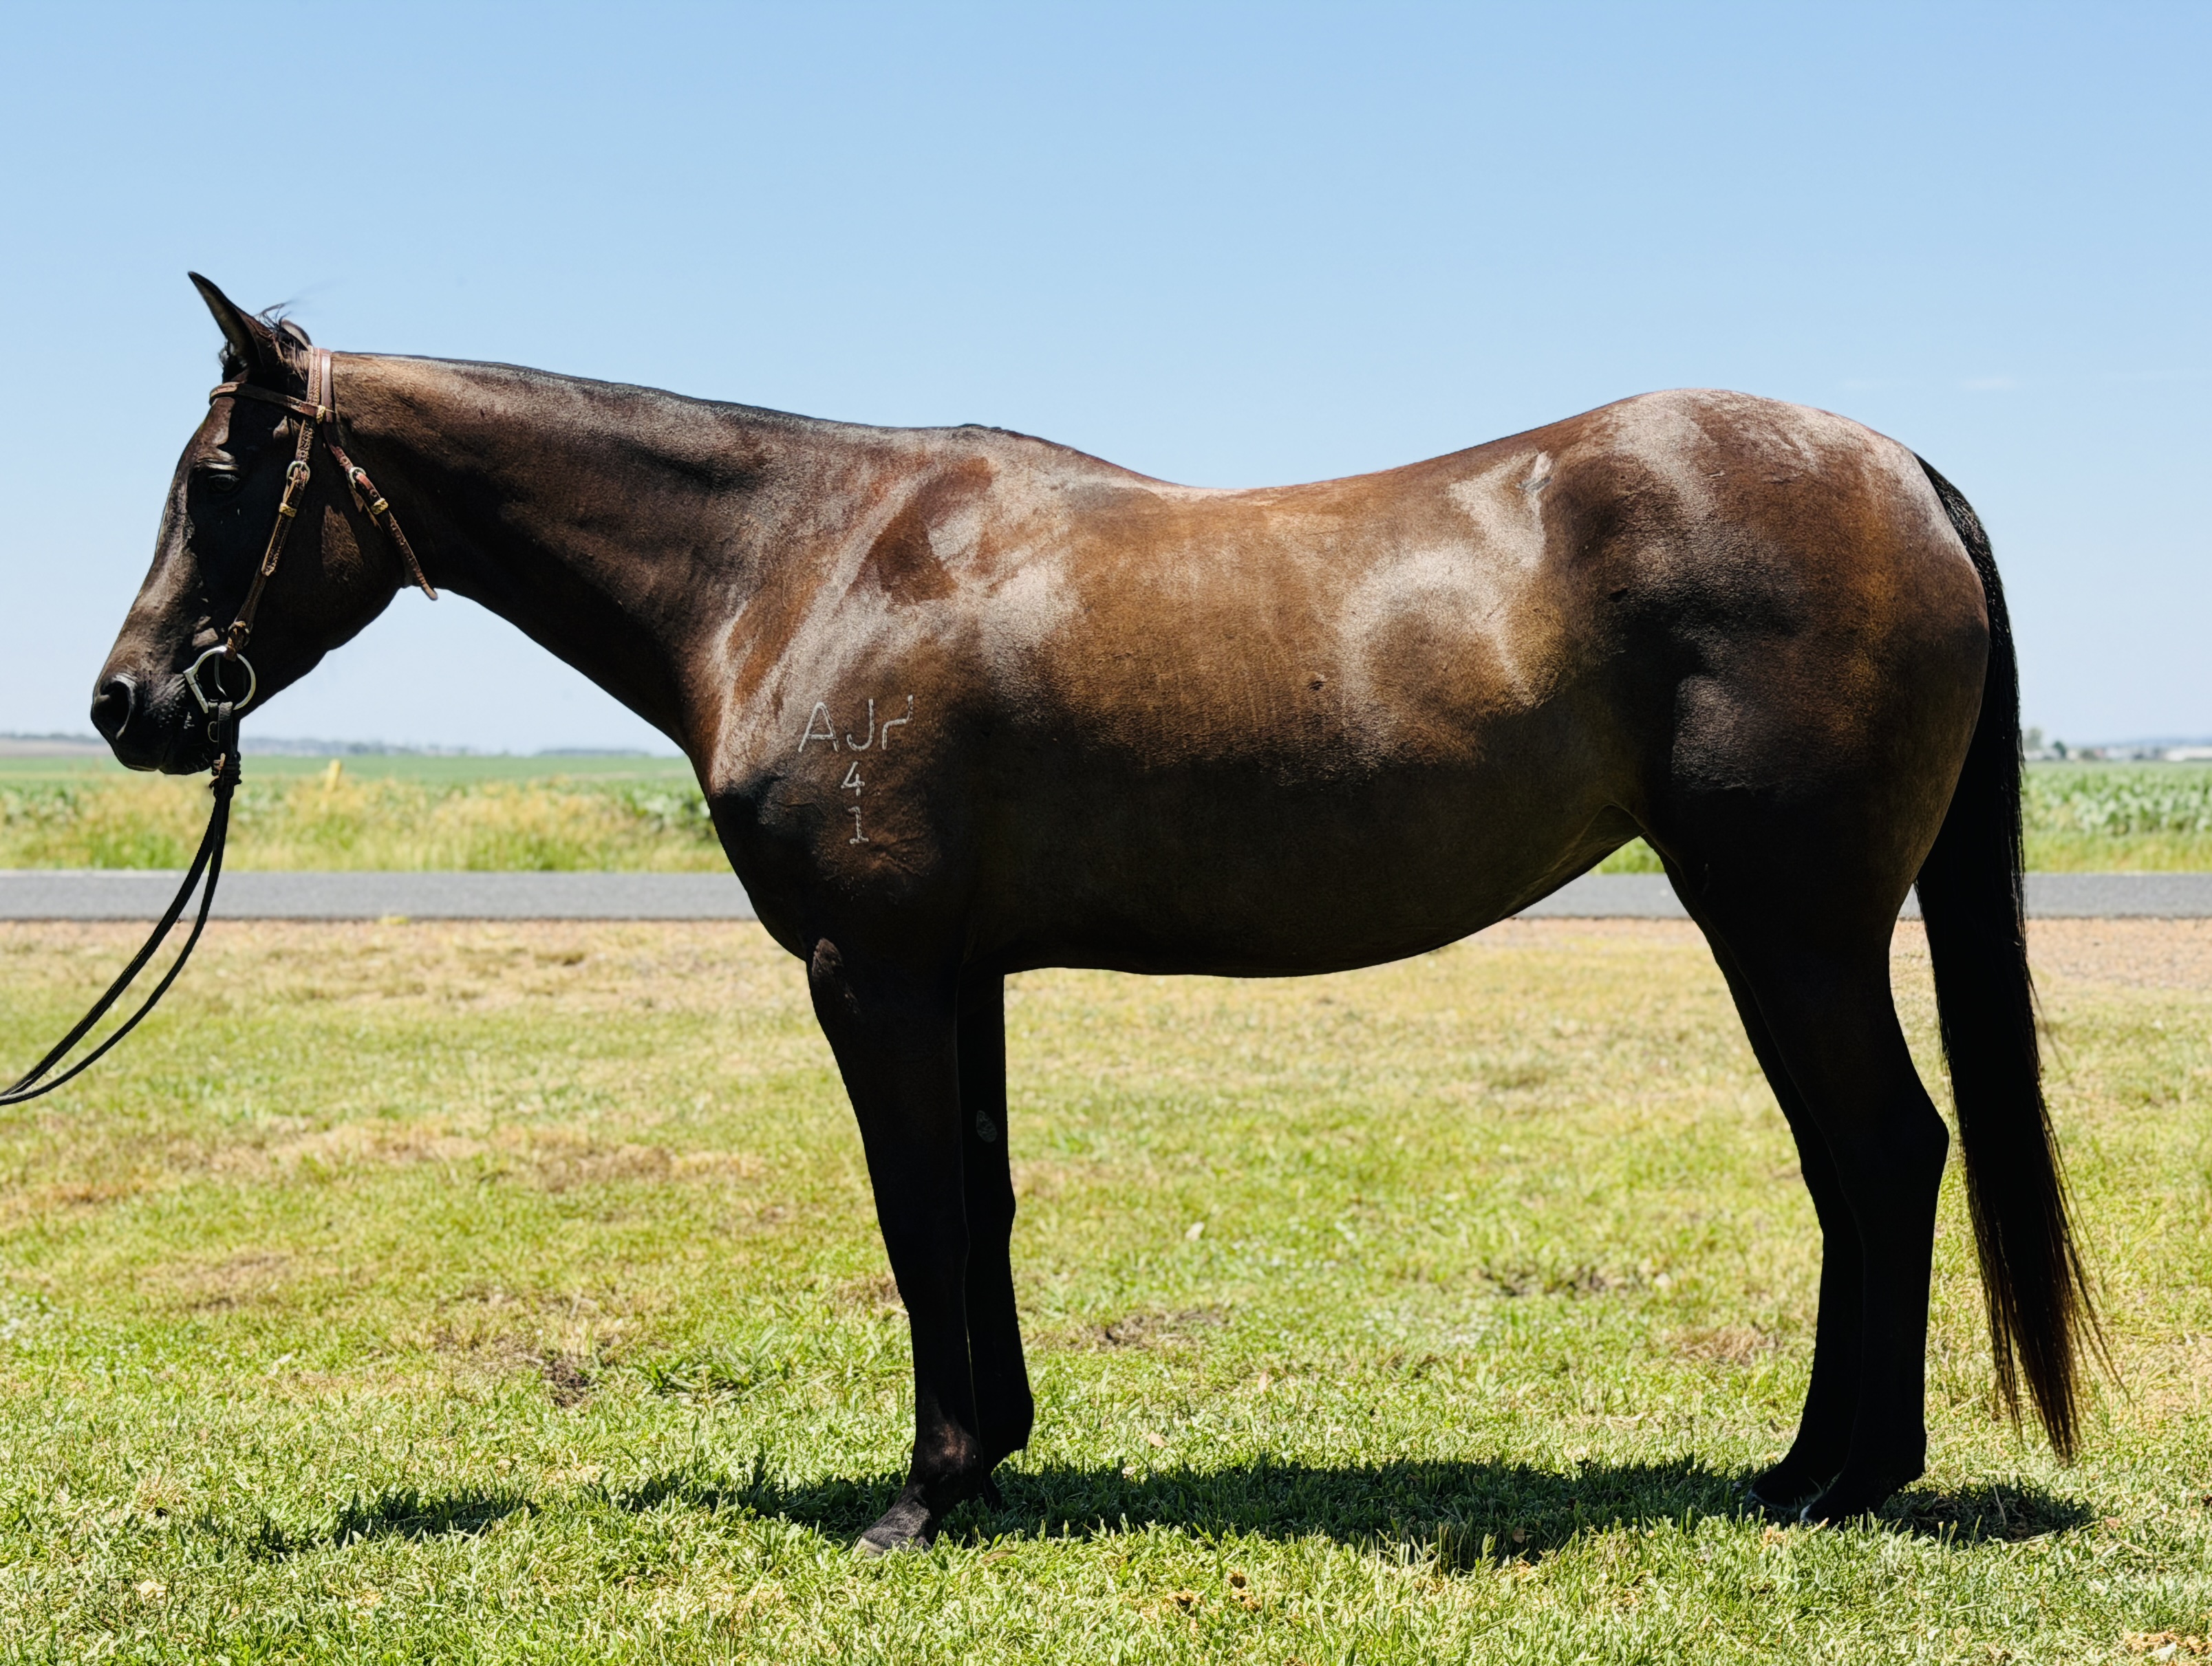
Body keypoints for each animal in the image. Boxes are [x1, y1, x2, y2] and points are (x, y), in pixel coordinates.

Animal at [92, 274, 2098, 1550]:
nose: (133, 706)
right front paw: (995, 1458)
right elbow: (974, 1202)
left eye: (220, 479)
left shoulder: (873, 971)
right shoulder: (956, 968)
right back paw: (1815, 1465)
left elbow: (912, 1213)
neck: (800, 563)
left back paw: (1832, 1476)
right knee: (1863, 1162)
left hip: (1789, 927)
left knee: (1876, 1154)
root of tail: (1899, 471)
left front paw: (919, 1493)